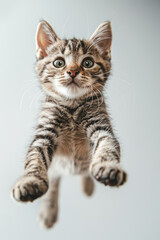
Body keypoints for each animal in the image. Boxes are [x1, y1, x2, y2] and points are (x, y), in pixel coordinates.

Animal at [11, 20, 127, 229]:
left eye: (88, 63)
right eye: (59, 62)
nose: (72, 71)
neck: (72, 106)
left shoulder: (101, 126)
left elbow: (108, 147)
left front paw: (108, 167)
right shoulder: (44, 133)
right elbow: (34, 158)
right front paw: (30, 181)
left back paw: (87, 184)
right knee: (54, 180)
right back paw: (49, 211)